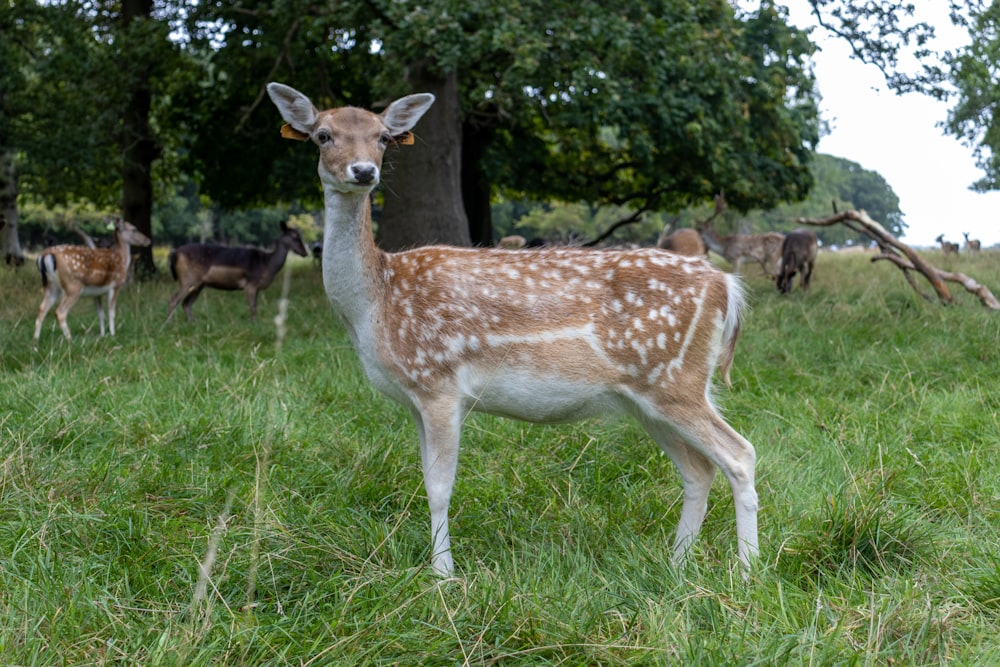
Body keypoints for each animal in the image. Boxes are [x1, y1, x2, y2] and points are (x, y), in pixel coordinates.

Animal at [166, 220, 306, 322]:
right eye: (294, 236)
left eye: (301, 235)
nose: (305, 252)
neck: (267, 264)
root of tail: (175, 254)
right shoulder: (250, 284)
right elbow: (253, 307)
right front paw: (254, 325)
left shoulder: (256, 287)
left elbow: (255, 306)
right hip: (188, 279)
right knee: (174, 300)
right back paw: (170, 324)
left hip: (199, 284)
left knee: (186, 303)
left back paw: (192, 323)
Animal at [266, 81, 756, 576]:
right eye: (323, 135)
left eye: (383, 136)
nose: (364, 171)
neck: (376, 304)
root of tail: (727, 286)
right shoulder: (415, 398)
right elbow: (425, 478)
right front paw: (438, 567)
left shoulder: (439, 383)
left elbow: (439, 487)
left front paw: (443, 575)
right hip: (646, 397)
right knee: (698, 469)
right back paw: (677, 565)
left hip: (676, 381)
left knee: (740, 454)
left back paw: (747, 570)